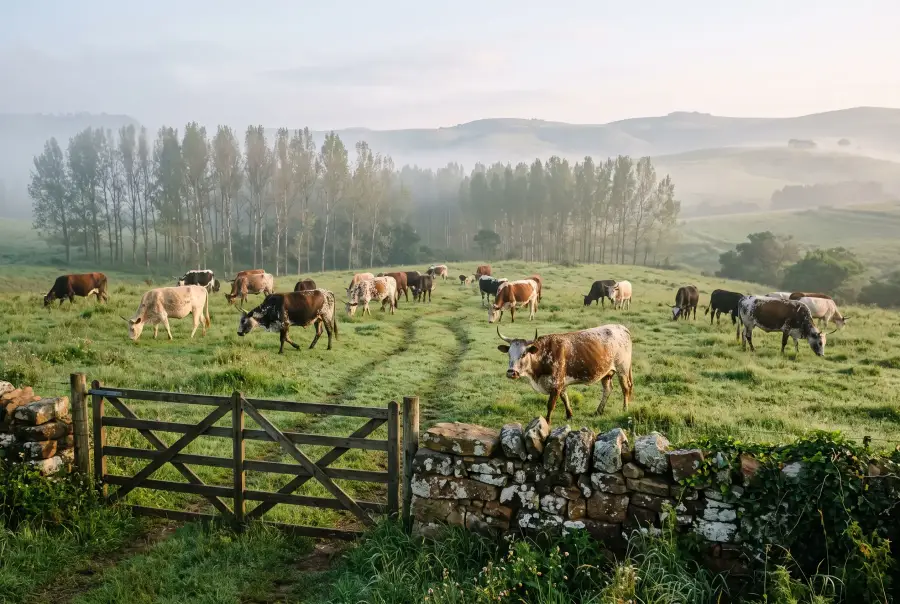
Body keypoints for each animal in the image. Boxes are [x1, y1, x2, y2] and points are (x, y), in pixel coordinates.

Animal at [497, 325, 634, 423]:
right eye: (509, 353)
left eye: (524, 354)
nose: (511, 373)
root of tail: (621, 327)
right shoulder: (561, 383)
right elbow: (565, 398)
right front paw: (569, 415)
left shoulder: (556, 383)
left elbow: (551, 404)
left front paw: (547, 421)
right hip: (606, 373)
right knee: (607, 389)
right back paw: (598, 411)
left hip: (623, 369)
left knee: (625, 388)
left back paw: (625, 409)